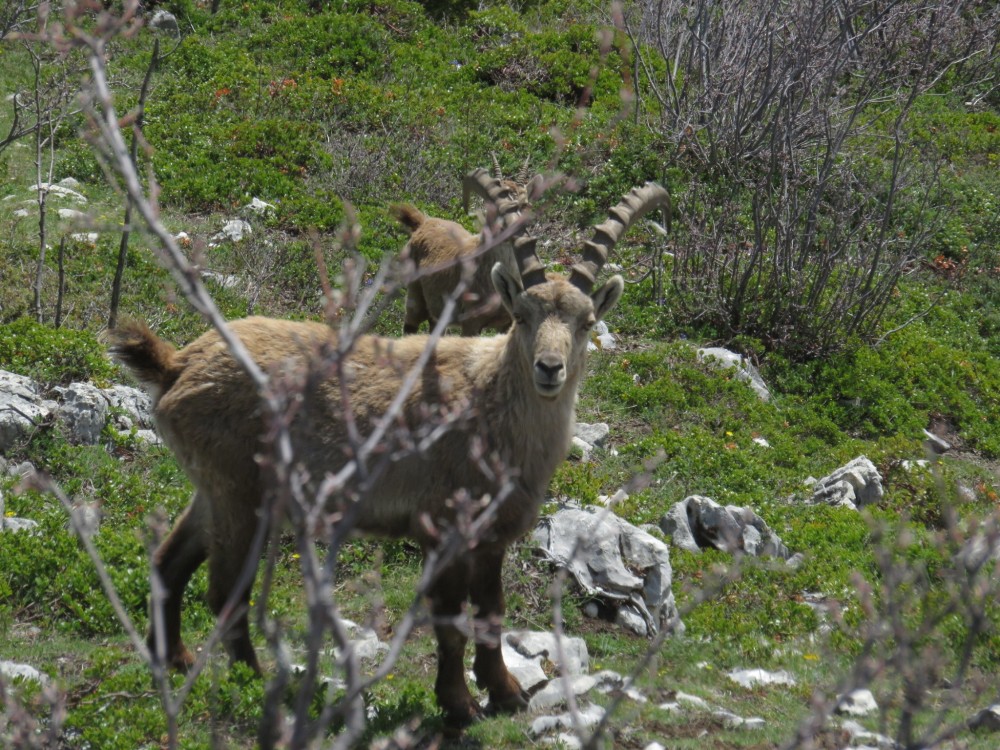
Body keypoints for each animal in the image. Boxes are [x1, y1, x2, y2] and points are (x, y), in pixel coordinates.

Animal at [392, 157, 544, 336]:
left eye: (525, 205)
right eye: (491, 208)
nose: (511, 228)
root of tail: (423, 222)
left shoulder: (507, 321)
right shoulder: (471, 321)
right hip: (414, 297)